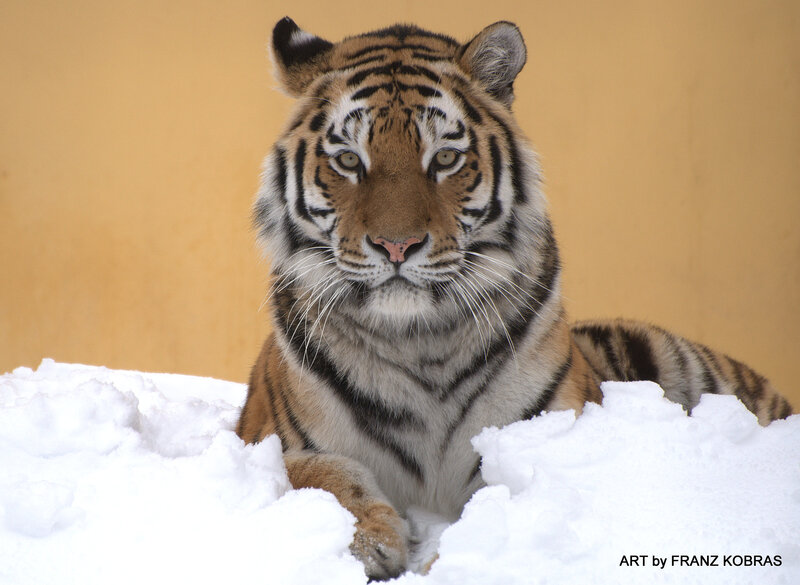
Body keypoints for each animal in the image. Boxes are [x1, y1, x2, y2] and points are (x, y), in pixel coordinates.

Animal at [236, 17, 794, 580]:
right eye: (349, 160)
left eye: (445, 158)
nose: (397, 245)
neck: (418, 340)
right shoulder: (275, 440)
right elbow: (324, 475)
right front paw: (371, 542)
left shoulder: (543, 436)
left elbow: (502, 501)